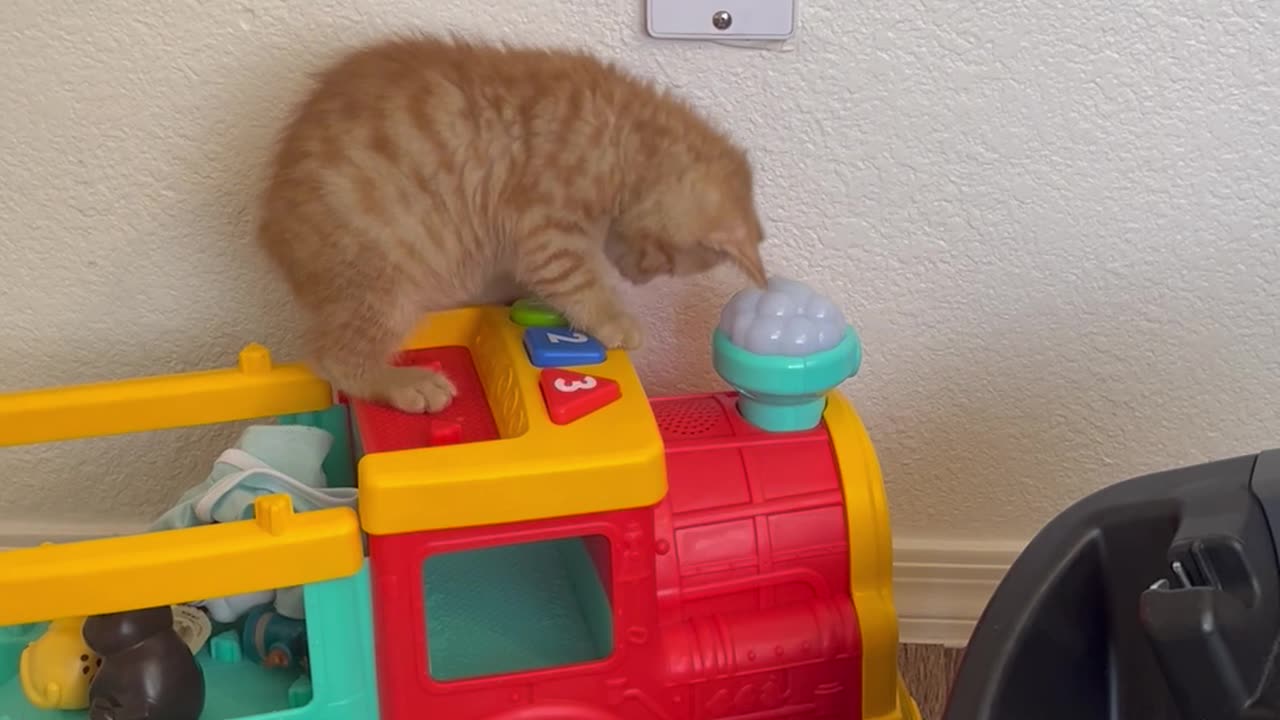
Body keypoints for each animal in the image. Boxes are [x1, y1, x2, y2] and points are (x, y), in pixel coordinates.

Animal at [254, 35, 762, 415]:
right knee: (334, 358)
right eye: (667, 262)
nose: (638, 279)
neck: (626, 137)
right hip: (382, 274)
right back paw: (402, 382)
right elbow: (575, 281)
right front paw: (615, 319)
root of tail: (273, 232)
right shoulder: (546, 231)